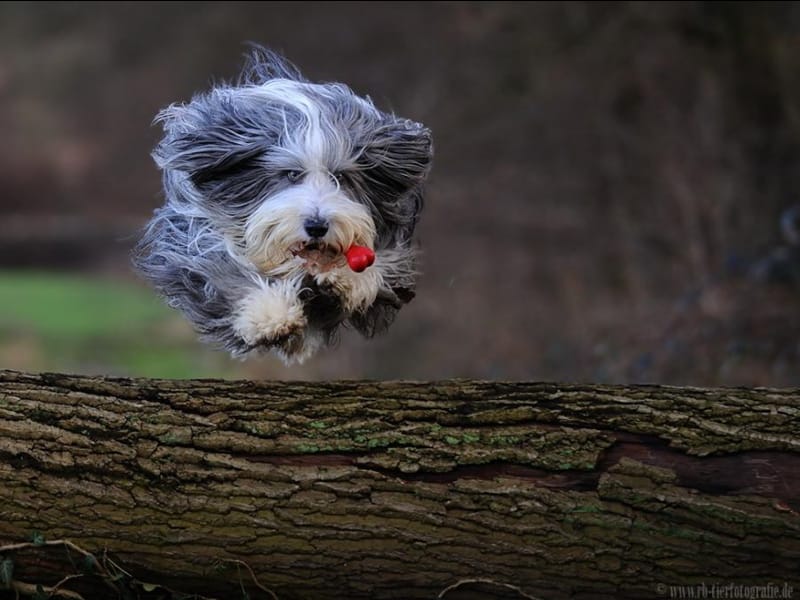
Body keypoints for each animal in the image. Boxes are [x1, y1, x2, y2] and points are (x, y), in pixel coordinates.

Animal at [133, 47, 432, 364]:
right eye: (290, 174)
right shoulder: (193, 236)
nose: (317, 226)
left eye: (340, 177)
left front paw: (346, 279)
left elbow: (378, 266)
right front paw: (270, 315)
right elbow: (222, 270)